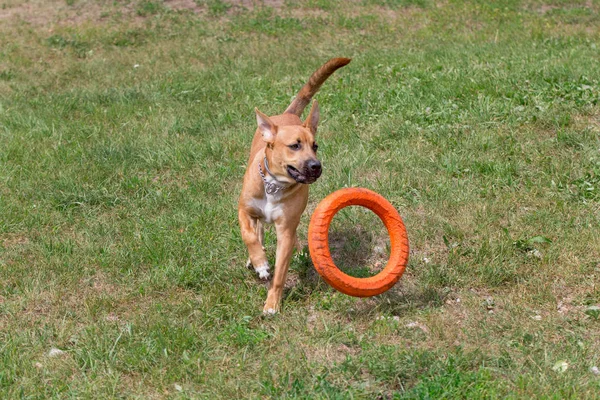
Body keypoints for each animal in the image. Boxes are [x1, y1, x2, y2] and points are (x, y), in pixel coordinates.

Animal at [238, 57, 352, 314]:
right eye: (295, 146)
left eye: (315, 146)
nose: (316, 166)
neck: (274, 186)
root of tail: (287, 114)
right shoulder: (244, 209)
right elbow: (248, 235)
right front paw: (260, 262)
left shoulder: (286, 230)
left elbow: (280, 272)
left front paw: (272, 303)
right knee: (257, 230)